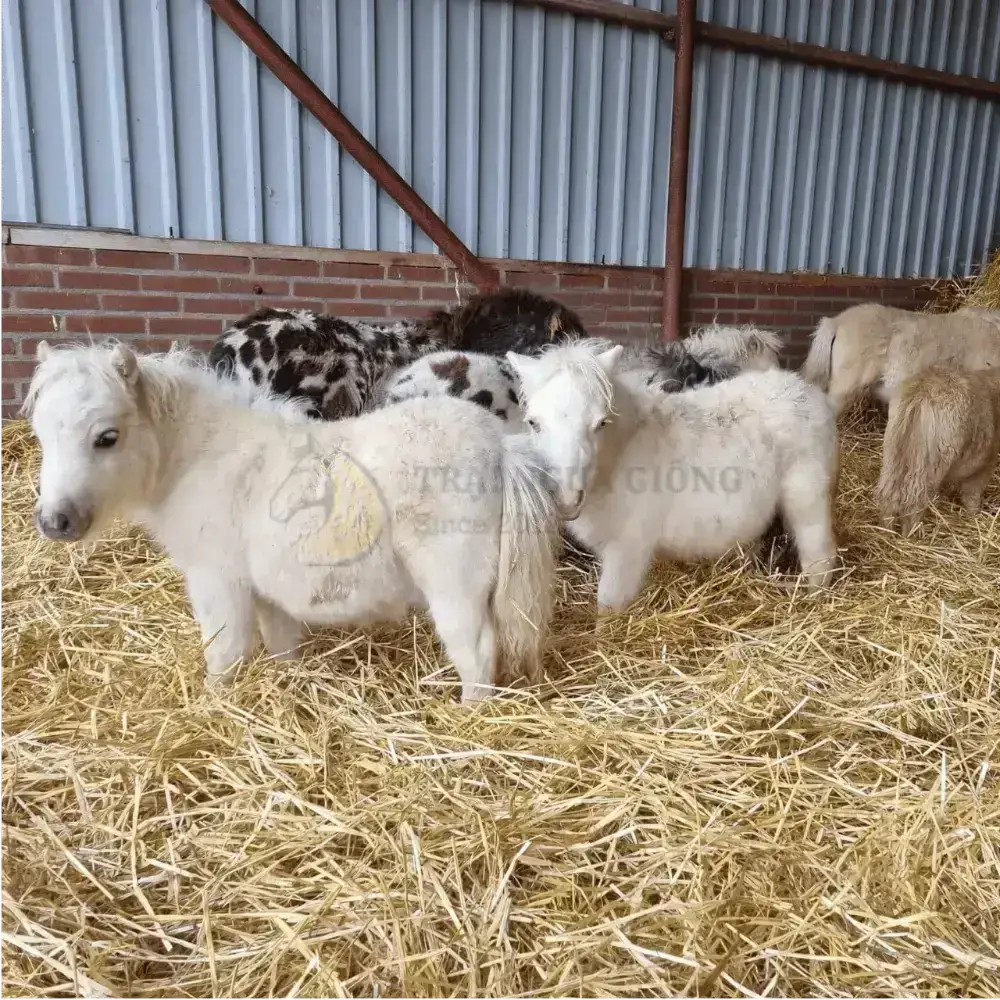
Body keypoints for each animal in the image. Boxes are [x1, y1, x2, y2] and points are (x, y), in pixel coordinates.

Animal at [24, 341, 562, 704]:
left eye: (107, 437)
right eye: (40, 433)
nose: (55, 522)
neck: (198, 456)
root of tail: (500, 447)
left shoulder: (217, 580)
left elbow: (224, 655)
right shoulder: (265, 591)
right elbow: (281, 647)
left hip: (456, 584)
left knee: (477, 651)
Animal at [506, 339, 840, 612]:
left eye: (601, 422)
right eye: (533, 423)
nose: (566, 498)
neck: (619, 457)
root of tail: (807, 391)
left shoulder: (628, 549)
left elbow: (609, 607)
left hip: (807, 500)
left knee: (819, 557)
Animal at [875, 367, 1000, 536]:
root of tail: (922, 391)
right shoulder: (984, 464)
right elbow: (972, 495)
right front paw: (974, 516)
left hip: (893, 452)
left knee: (889, 496)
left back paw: (887, 533)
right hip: (930, 465)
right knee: (914, 502)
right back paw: (911, 535)